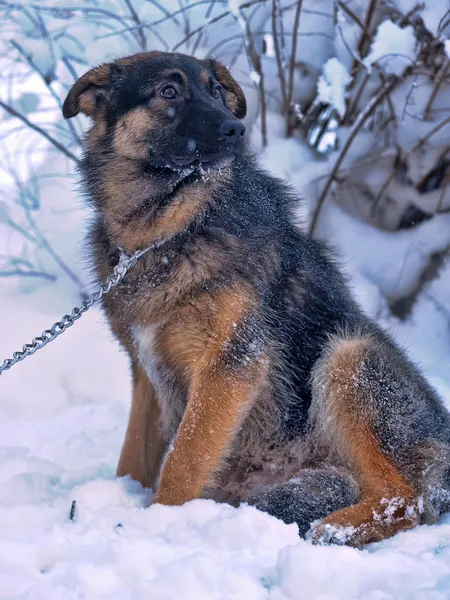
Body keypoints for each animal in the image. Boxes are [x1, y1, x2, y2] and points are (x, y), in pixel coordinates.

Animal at [62, 52, 450, 548]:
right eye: (169, 91)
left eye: (216, 91)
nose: (236, 129)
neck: (166, 232)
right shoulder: (146, 375)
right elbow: (134, 459)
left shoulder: (231, 366)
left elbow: (183, 460)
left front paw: (155, 526)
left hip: (348, 357)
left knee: (406, 499)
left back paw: (332, 531)